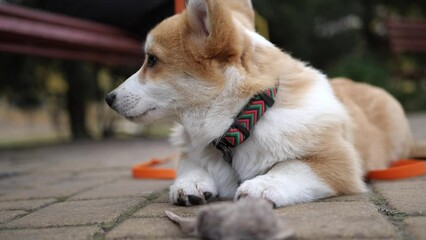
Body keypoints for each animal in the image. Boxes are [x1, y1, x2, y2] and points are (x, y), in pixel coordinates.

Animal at [106, 0, 412, 207]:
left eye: (152, 60)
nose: (109, 98)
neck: (239, 121)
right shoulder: (194, 152)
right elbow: (191, 165)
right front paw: (189, 183)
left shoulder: (337, 161)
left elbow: (289, 167)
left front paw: (262, 186)